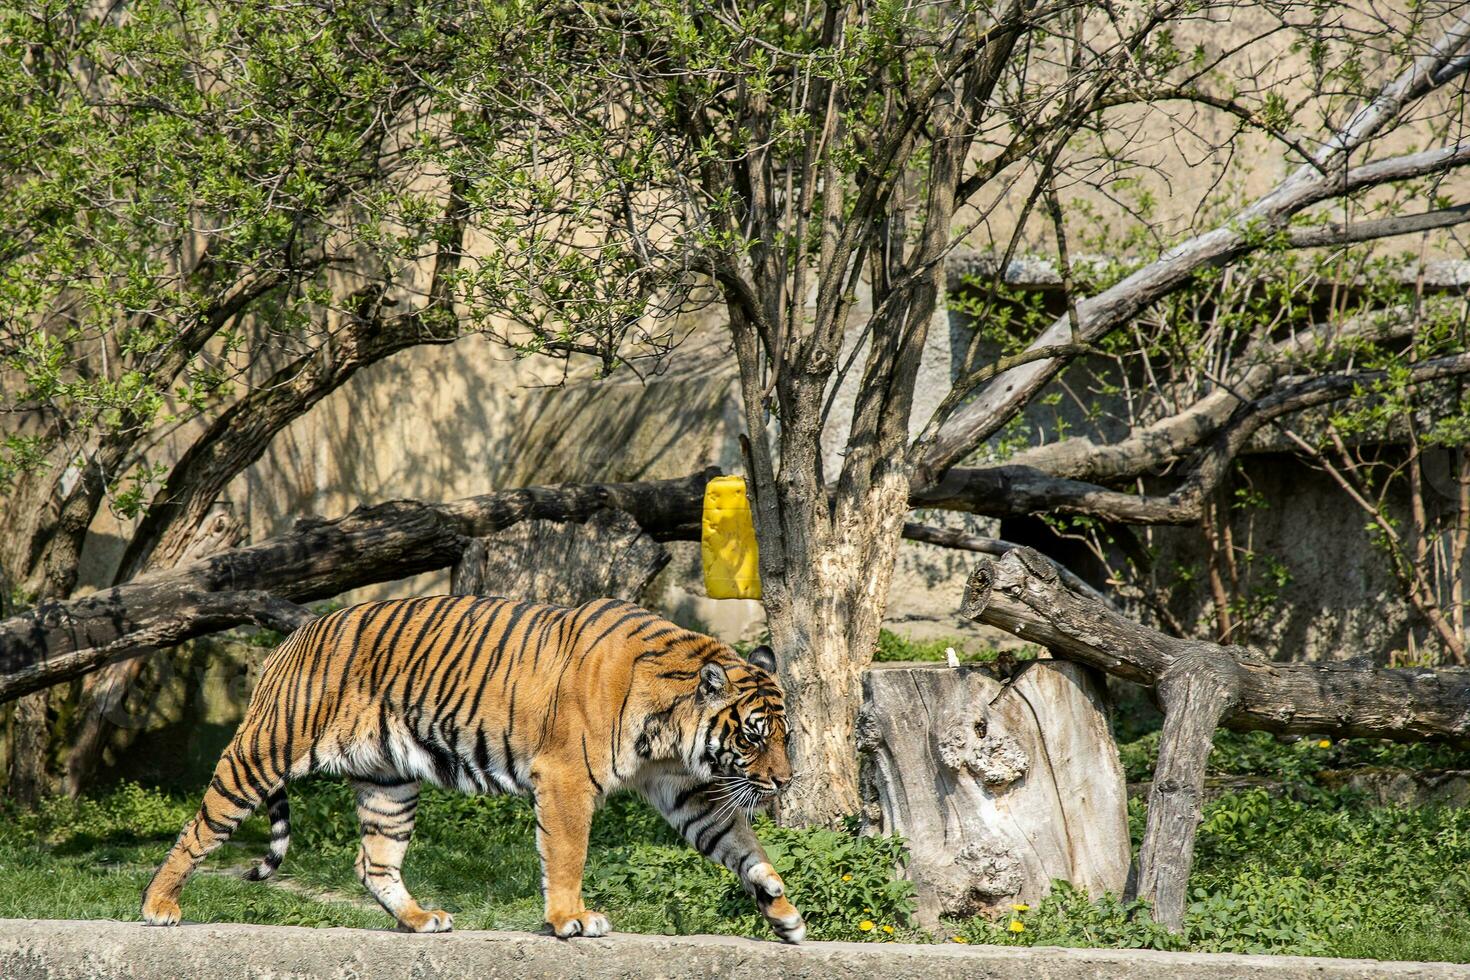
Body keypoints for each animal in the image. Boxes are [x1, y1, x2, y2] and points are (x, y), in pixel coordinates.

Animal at [140, 593, 805, 946]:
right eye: (753, 736)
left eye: (786, 737)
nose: (784, 781)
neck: (670, 731)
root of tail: (293, 637)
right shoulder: (566, 779)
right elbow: (567, 853)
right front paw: (570, 919)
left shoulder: (684, 790)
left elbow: (737, 843)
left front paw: (781, 907)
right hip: (264, 751)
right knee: (201, 825)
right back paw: (158, 905)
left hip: (389, 783)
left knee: (373, 862)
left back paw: (419, 920)